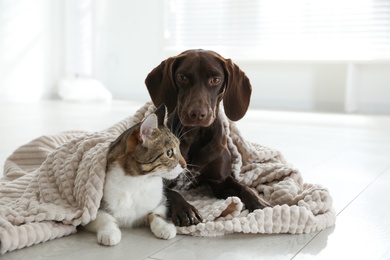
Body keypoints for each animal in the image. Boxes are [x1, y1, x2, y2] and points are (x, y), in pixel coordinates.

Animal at [85, 105, 187, 246]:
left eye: (179, 147)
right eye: (169, 153)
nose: (185, 164)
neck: (139, 181)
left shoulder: (160, 201)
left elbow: (155, 213)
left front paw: (164, 227)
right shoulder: (91, 209)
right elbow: (104, 217)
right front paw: (110, 232)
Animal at [145, 49, 266, 225]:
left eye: (215, 79)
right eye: (182, 77)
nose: (197, 114)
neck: (195, 134)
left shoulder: (219, 183)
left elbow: (244, 187)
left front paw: (259, 202)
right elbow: (172, 193)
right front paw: (185, 209)